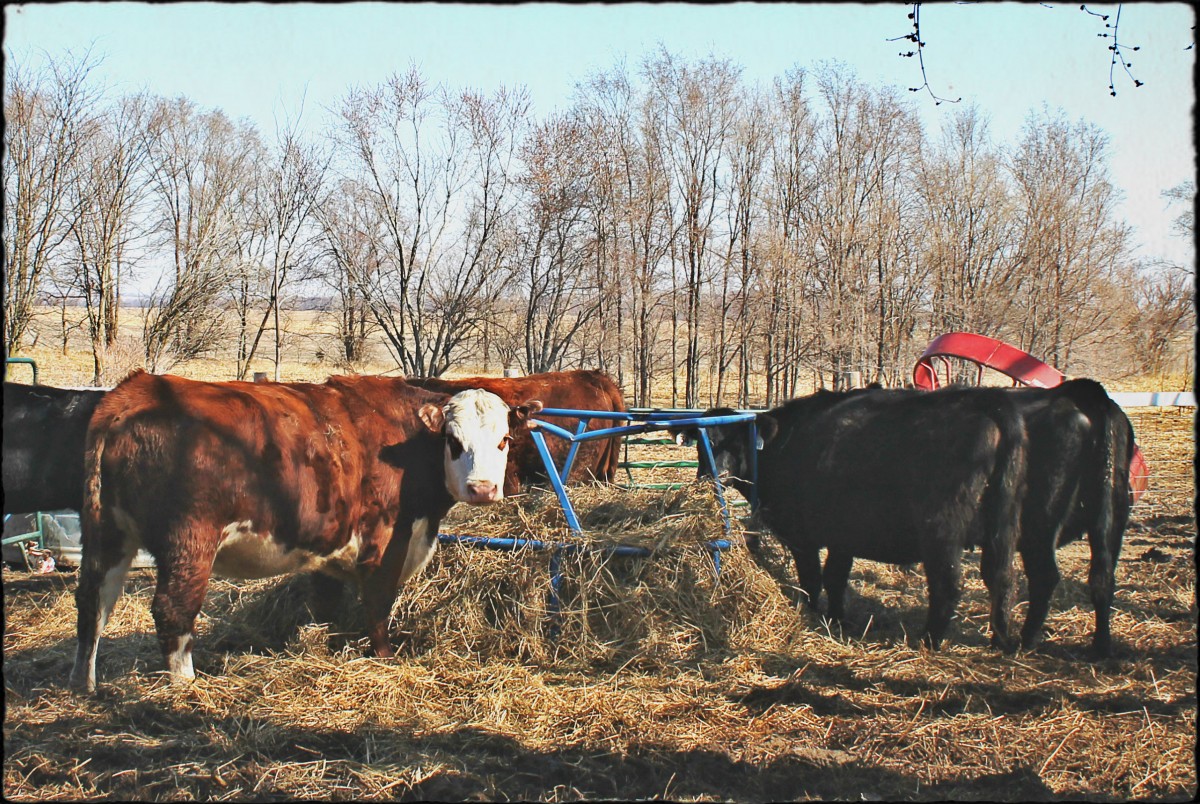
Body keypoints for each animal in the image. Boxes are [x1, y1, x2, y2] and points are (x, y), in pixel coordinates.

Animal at [70, 372, 544, 691]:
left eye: (503, 440)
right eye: (453, 441)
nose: (482, 488)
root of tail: (138, 389)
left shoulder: (330, 552)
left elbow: (329, 609)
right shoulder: (386, 543)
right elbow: (378, 607)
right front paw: (385, 659)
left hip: (106, 535)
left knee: (93, 603)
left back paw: (85, 686)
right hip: (189, 542)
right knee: (173, 611)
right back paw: (187, 687)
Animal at [681, 391, 1027, 652]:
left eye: (735, 441)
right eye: (701, 443)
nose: (713, 475)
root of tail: (985, 400)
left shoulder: (802, 536)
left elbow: (812, 578)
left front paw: (813, 615)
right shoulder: (842, 535)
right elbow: (835, 577)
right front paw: (838, 618)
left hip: (942, 532)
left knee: (949, 584)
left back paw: (929, 640)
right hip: (1004, 527)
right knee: (1002, 579)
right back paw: (1001, 640)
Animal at [1012, 381, 1132, 657]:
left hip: (1041, 519)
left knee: (1045, 576)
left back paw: (1026, 640)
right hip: (1114, 517)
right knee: (1102, 577)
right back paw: (1101, 646)